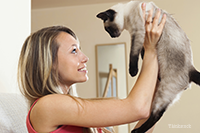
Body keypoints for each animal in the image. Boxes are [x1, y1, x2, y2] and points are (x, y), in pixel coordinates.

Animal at [97, 1, 200, 133]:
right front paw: (143, 56)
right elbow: (142, 52)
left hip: (164, 91)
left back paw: (137, 130)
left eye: (108, 29)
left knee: (156, 114)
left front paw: (133, 72)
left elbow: (133, 55)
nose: (112, 37)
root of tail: (190, 69)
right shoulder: (141, 37)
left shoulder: (138, 33)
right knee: (157, 113)